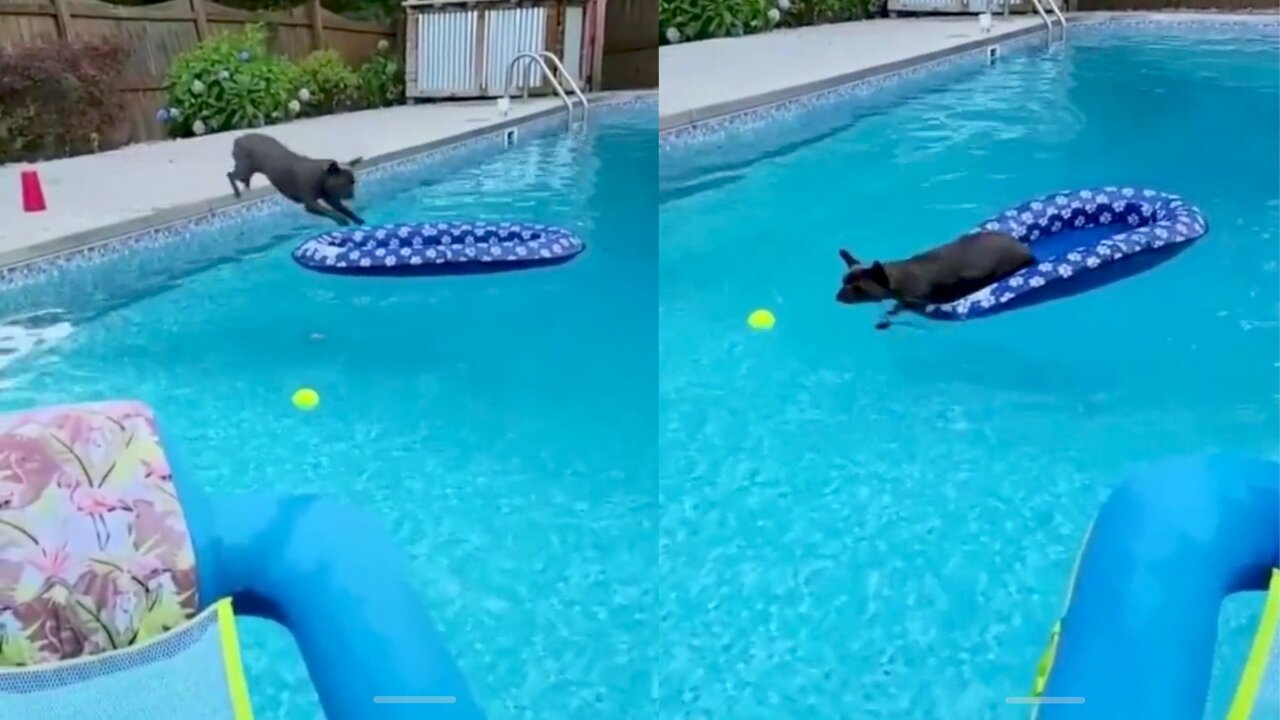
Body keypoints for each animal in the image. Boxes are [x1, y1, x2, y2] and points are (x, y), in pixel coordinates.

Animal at [225, 131, 363, 225]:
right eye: (343, 184)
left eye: (353, 182)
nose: (352, 195)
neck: (322, 177)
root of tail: (238, 139)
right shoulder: (310, 203)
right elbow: (329, 211)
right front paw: (341, 220)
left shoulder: (331, 201)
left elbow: (345, 210)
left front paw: (357, 219)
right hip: (243, 170)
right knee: (230, 175)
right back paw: (237, 192)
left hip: (247, 170)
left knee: (242, 178)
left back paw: (246, 186)